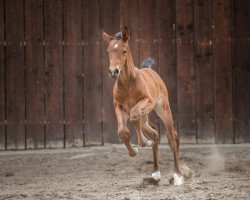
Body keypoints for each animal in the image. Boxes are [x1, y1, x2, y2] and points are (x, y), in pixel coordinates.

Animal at [103, 27, 184, 186]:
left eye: (124, 51)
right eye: (109, 51)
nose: (113, 72)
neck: (127, 83)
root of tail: (151, 71)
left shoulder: (146, 101)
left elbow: (134, 116)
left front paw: (144, 142)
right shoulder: (118, 106)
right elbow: (122, 131)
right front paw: (134, 150)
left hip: (162, 109)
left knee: (172, 137)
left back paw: (177, 176)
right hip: (145, 117)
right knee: (155, 133)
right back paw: (155, 174)